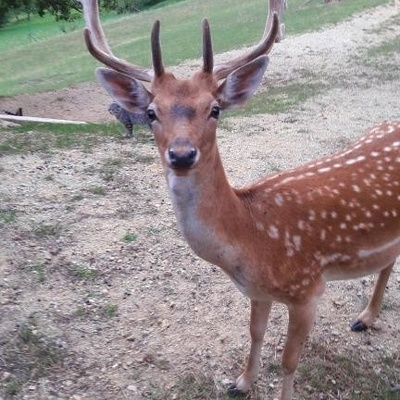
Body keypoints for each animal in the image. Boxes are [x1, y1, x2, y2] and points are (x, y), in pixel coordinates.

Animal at [79, 1, 398, 398]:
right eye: (151, 112)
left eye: (214, 108)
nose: (181, 154)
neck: (252, 239)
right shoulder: (256, 292)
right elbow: (255, 333)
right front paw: (242, 382)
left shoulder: (308, 289)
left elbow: (289, 360)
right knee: (389, 259)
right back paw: (367, 317)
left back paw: (366, 317)